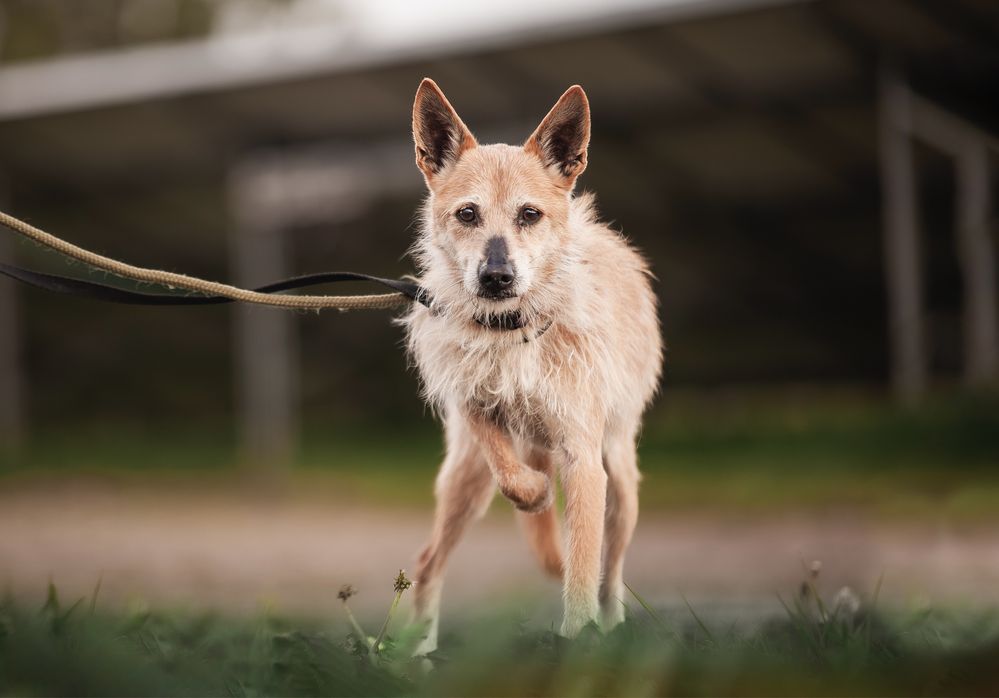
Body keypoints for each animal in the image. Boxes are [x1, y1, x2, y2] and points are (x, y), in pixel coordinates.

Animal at [402, 79, 660, 648]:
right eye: (468, 214)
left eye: (529, 214)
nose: (496, 277)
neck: (513, 332)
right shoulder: (475, 407)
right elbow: (512, 475)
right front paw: (536, 495)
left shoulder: (584, 462)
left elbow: (582, 576)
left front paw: (579, 642)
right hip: (464, 483)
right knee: (429, 563)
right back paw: (413, 653)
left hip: (621, 486)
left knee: (610, 577)